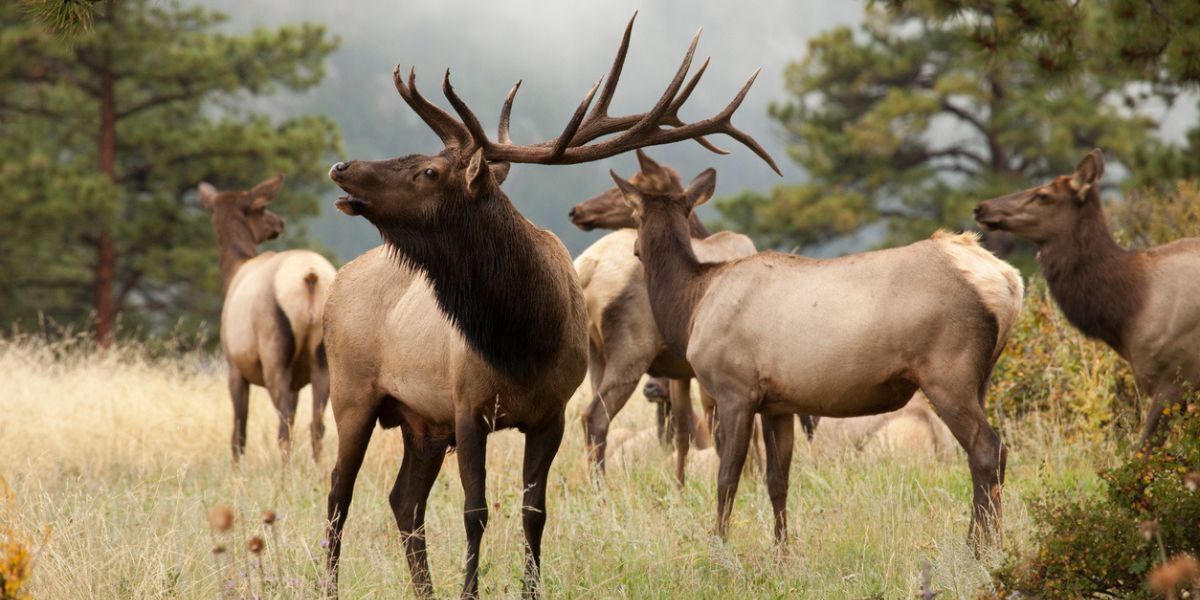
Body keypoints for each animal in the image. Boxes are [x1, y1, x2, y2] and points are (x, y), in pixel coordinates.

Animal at [198, 175, 337, 463]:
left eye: (260, 207)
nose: (279, 222)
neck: (233, 271)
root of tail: (311, 277)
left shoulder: (234, 367)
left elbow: (238, 433)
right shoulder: (297, 381)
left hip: (274, 352)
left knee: (284, 425)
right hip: (324, 359)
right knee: (317, 425)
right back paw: (319, 471)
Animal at [321, 13, 778, 598]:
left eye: (428, 171)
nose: (340, 166)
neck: (524, 339)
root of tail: (337, 283)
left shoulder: (549, 412)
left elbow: (532, 512)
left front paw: (527, 587)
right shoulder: (467, 406)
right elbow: (475, 512)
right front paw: (470, 590)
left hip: (421, 422)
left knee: (403, 501)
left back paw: (422, 589)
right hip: (353, 392)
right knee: (339, 494)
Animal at [611, 167, 1023, 550]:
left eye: (634, 216)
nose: (633, 249)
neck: (692, 308)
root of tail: (1008, 281)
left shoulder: (734, 390)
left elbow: (726, 479)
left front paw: (719, 548)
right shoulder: (777, 404)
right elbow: (777, 481)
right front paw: (782, 553)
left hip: (948, 372)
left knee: (987, 450)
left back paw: (979, 548)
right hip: (981, 377)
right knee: (986, 454)